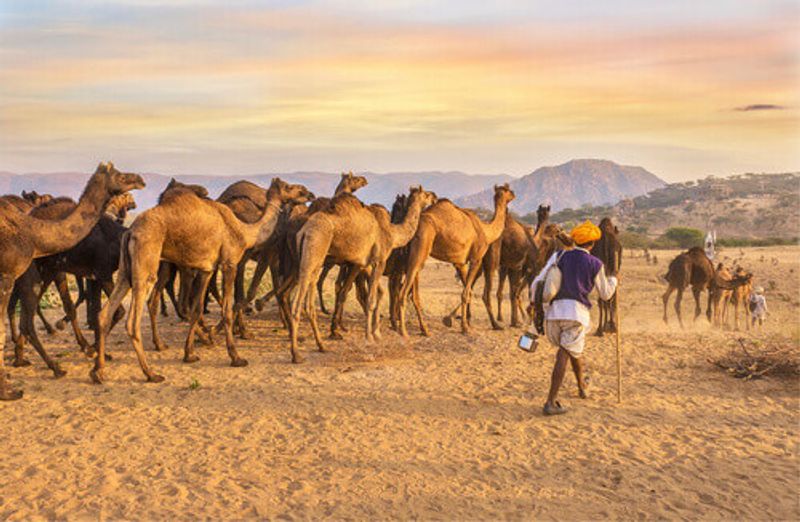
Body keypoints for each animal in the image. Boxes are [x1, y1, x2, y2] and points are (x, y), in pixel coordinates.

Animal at [0, 162, 145, 398]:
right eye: (121, 177)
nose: (140, 180)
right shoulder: (101, 273)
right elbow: (112, 311)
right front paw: (93, 351)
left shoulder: (93, 275)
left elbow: (96, 308)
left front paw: (94, 350)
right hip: (39, 272)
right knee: (28, 313)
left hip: (39, 273)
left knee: (26, 313)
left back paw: (27, 358)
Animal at [90, 176, 310, 382]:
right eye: (289, 187)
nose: (307, 193)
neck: (244, 230)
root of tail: (130, 231)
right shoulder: (229, 263)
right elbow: (227, 309)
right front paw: (236, 357)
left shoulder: (206, 269)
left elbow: (196, 309)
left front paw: (190, 354)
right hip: (146, 262)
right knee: (133, 321)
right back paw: (151, 373)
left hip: (125, 271)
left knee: (105, 313)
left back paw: (99, 371)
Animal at [290, 187, 438, 362]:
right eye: (426, 194)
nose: (434, 197)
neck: (392, 232)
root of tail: (305, 231)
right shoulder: (379, 261)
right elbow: (371, 299)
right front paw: (370, 337)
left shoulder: (364, 264)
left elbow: (371, 296)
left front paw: (376, 334)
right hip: (315, 249)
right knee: (297, 302)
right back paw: (296, 354)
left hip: (316, 259)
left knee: (310, 300)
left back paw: (322, 345)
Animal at [396, 185, 520, 336]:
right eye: (507, 190)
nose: (514, 193)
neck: (486, 231)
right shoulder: (476, 258)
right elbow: (466, 293)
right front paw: (465, 327)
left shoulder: (460, 263)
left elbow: (469, 291)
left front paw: (455, 320)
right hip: (421, 249)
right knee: (403, 291)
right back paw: (403, 331)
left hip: (412, 255)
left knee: (413, 294)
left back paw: (423, 329)